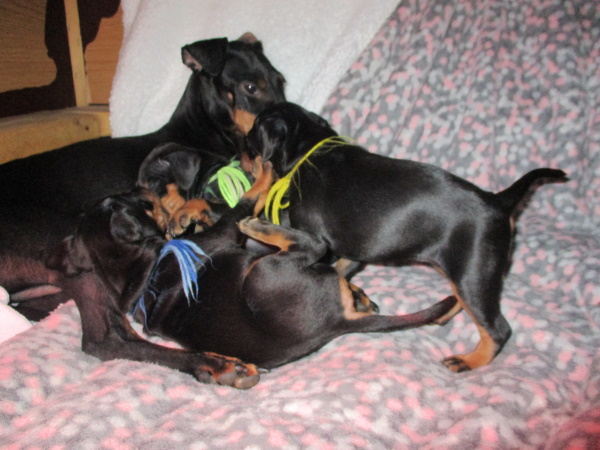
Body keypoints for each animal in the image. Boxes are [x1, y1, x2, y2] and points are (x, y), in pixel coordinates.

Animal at [46, 160, 457, 387]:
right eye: (135, 201)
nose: (142, 190)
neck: (135, 269)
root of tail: (334, 325)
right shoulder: (224, 236)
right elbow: (239, 204)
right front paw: (264, 174)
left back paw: (358, 295)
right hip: (263, 274)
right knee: (309, 246)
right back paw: (260, 223)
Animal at [240, 101, 568, 372]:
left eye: (252, 135)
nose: (240, 156)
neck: (310, 152)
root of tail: (498, 201)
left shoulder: (316, 238)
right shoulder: (352, 251)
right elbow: (342, 270)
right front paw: (355, 294)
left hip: (474, 269)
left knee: (498, 329)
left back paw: (468, 361)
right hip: (468, 269)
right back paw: (445, 315)